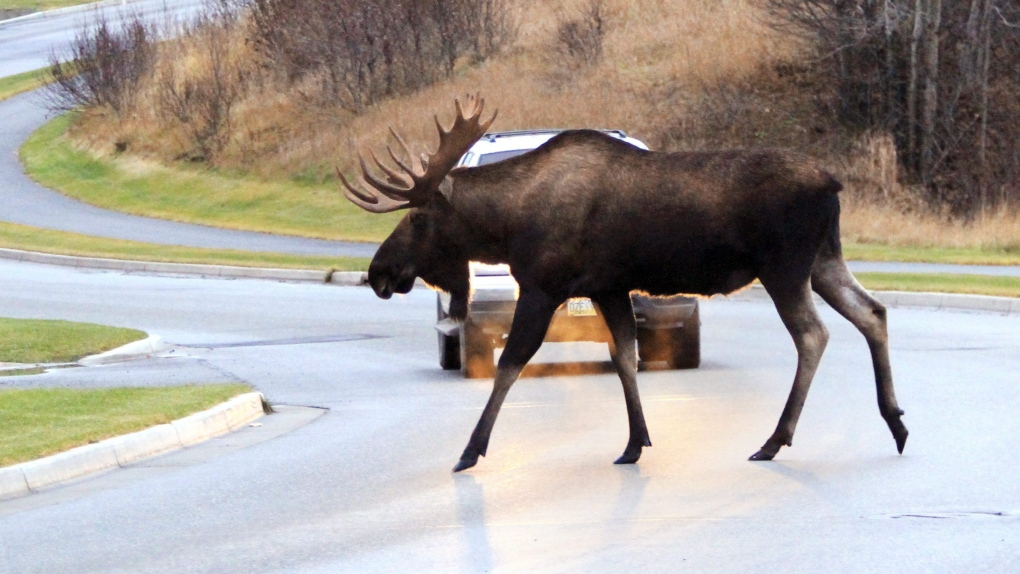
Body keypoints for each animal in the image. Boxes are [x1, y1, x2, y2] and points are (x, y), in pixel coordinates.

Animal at [340, 93, 909, 471]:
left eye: (417, 219)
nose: (378, 272)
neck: (508, 225)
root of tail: (833, 184)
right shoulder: (608, 286)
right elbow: (625, 357)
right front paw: (636, 444)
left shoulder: (544, 286)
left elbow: (510, 365)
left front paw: (469, 451)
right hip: (823, 259)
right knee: (873, 311)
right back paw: (896, 422)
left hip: (784, 267)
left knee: (814, 334)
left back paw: (775, 439)